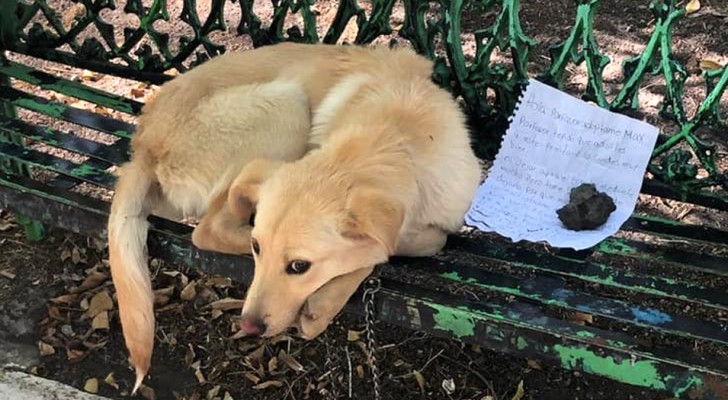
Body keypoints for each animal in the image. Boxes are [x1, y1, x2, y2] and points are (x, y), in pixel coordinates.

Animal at [106, 42, 484, 392]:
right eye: (257, 248)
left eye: (299, 266)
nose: (248, 326)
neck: (395, 138)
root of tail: (143, 144)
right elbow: (392, 248)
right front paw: (327, 300)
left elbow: (411, 242)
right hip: (287, 104)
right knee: (208, 230)